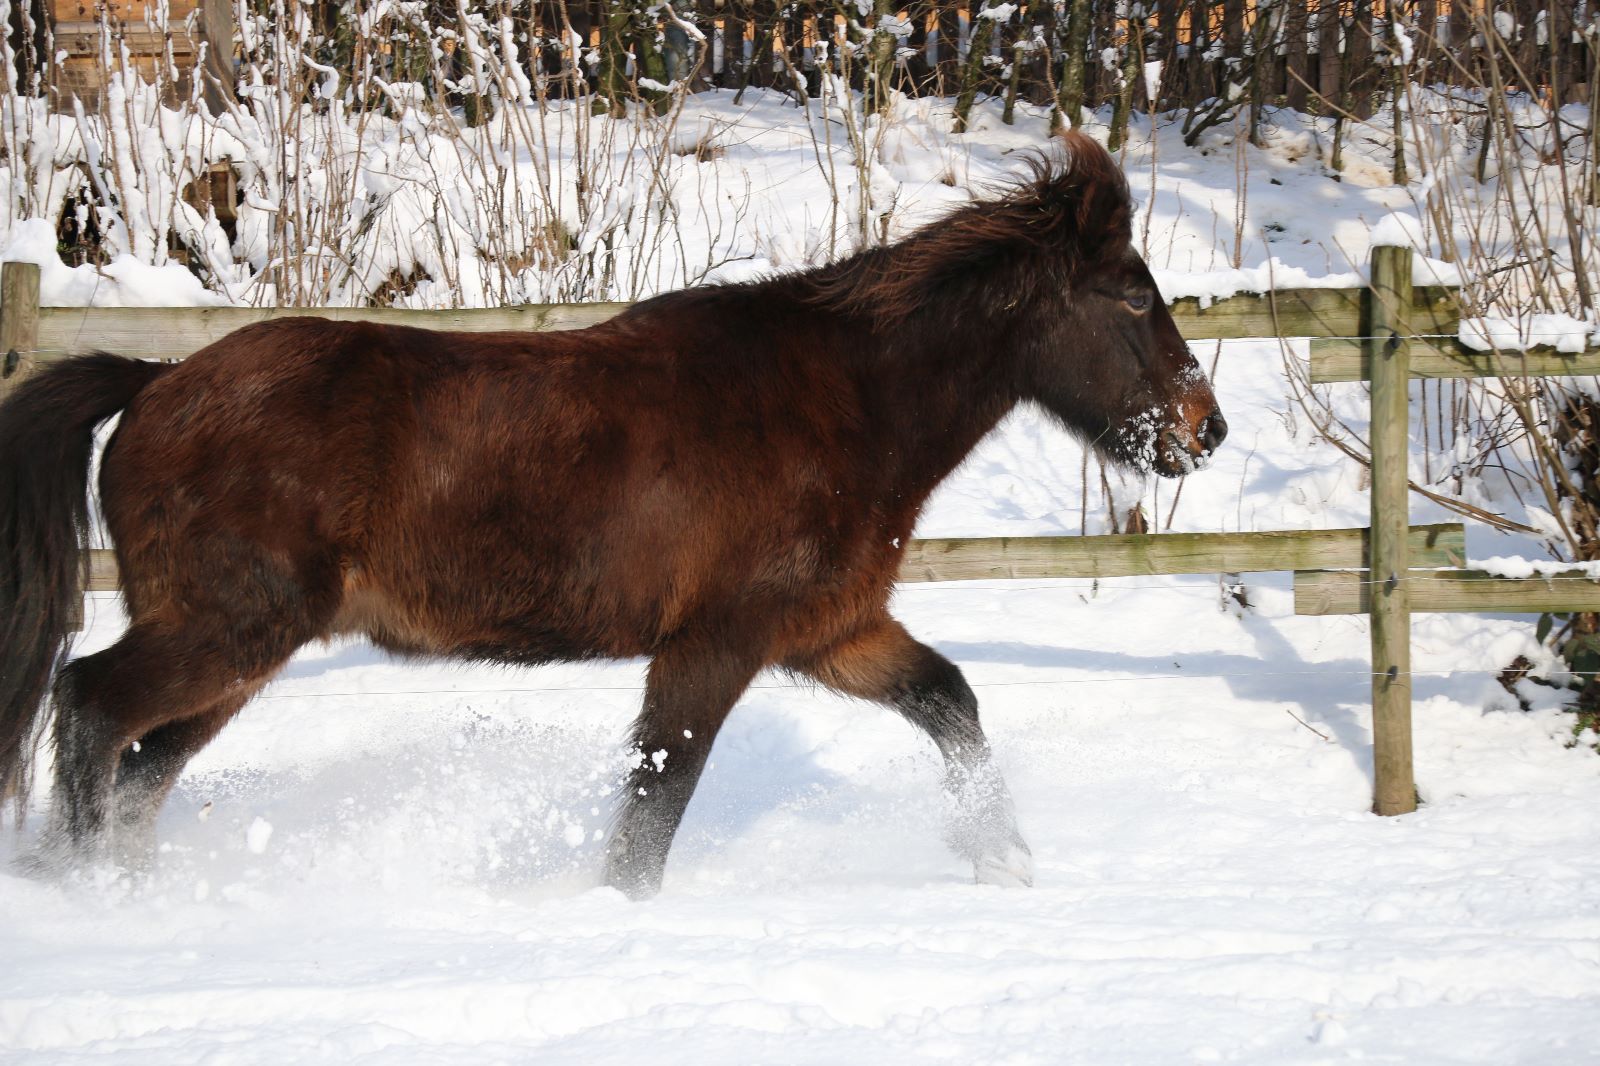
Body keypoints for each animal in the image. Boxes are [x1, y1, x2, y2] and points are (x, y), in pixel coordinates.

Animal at [0, 132, 1225, 898]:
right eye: (1131, 296)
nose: (1203, 430)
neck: (842, 399)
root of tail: (153, 382)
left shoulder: (829, 632)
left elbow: (949, 701)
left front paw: (1002, 860)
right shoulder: (714, 641)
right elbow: (656, 798)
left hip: (240, 654)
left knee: (142, 769)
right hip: (227, 630)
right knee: (90, 707)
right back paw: (88, 895)